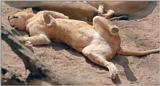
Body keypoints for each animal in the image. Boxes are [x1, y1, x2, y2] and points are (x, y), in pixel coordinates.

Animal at [8, 9, 159, 79]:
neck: (29, 21)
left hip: (98, 21)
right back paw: (114, 73)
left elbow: (52, 14)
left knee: (104, 22)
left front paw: (49, 20)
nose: (9, 17)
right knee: (110, 63)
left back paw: (115, 28)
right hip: (90, 52)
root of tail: (118, 47)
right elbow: (39, 38)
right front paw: (24, 41)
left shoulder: (55, 16)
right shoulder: (42, 36)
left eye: (14, 15)